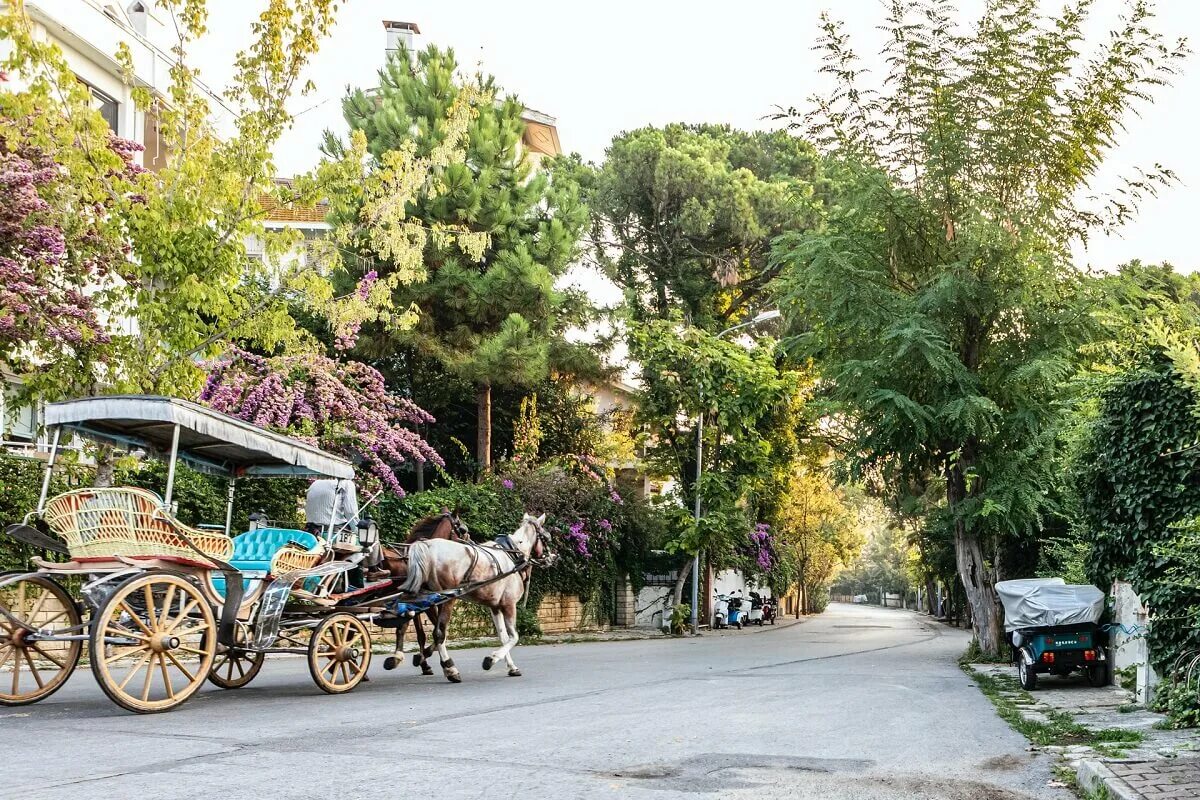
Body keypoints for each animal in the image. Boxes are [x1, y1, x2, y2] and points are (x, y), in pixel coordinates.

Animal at [400, 513, 554, 681]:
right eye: (547, 538)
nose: (552, 558)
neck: (513, 553)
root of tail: (427, 546)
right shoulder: (509, 604)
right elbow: (514, 637)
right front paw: (491, 659)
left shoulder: (495, 607)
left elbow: (503, 637)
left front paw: (512, 667)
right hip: (447, 599)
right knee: (439, 633)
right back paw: (450, 668)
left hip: (430, 599)